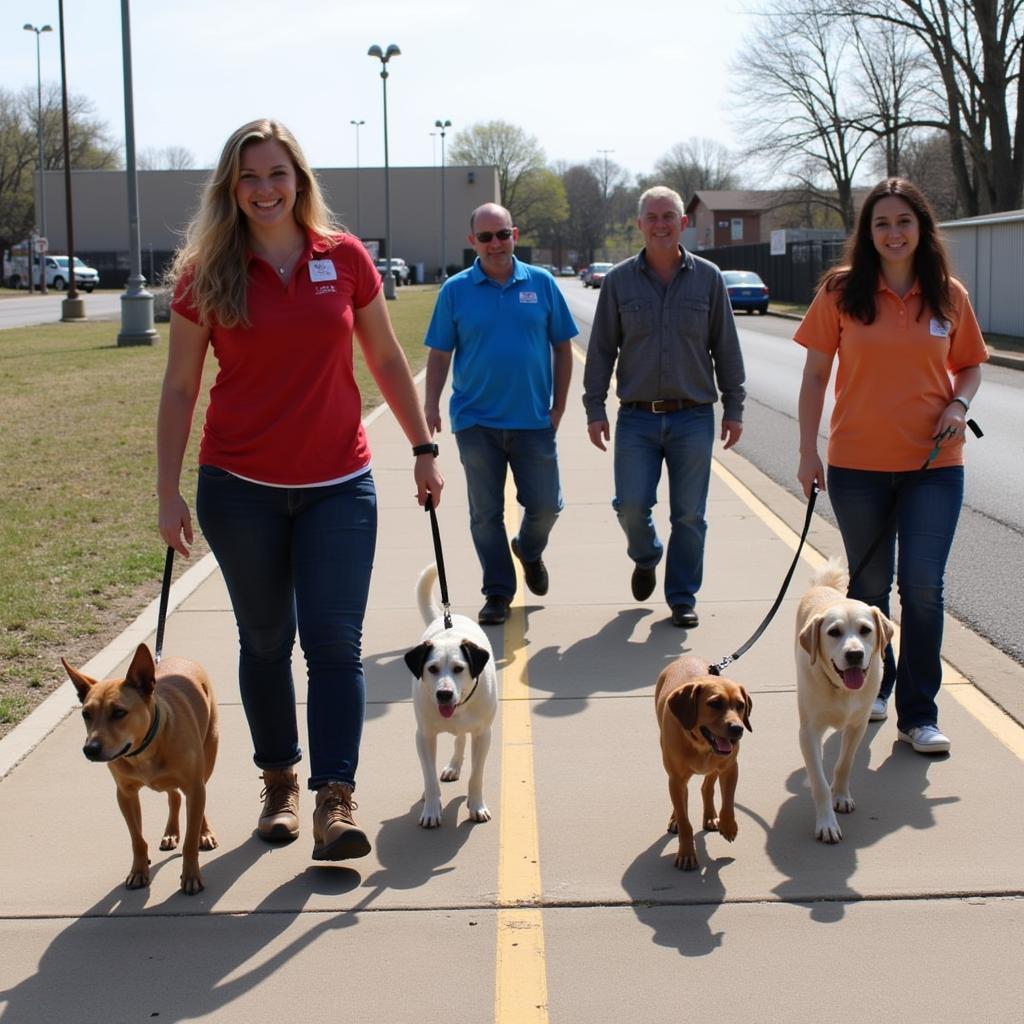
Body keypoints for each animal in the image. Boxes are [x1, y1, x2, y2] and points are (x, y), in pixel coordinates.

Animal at [62, 643, 220, 892]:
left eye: (119, 712)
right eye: (86, 714)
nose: (90, 749)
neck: (143, 751)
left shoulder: (194, 787)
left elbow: (190, 840)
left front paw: (191, 875)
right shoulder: (125, 794)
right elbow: (137, 838)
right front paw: (138, 870)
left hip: (207, 760)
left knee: (197, 799)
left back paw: (204, 833)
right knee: (174, 796)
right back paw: (171, 832)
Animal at [401, 565, 497, 827]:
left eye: (459, 668)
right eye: (432, 669)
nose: (444, 694)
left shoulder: (483, 735)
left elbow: (477, 775)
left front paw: (477, 805)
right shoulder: (423, 736)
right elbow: (429, 777)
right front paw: (432, 809)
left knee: (461, 738)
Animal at [655, 655, 753, 872]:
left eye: (740, 705)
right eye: (715, 703)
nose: (738, 729)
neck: (699, 744)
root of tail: (685, 657)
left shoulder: (730, 768)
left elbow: (728, 801)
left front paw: (728, 825)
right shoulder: (676, 778)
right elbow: (685, 821)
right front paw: (686, 853)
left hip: (715, 767)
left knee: (706, 786)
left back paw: (709, 816)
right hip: (674, 776)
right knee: (682, 799)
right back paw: (676, 818)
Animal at [794, 557, 892, 843]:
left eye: (866, 630)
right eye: (834, 632)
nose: (854, 654)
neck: (842, 690)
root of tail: (824, 589)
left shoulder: (857, 726)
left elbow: (844, 765)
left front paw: (841, 796)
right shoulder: (808, 732)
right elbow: (819, 783)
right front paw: (827, 822)